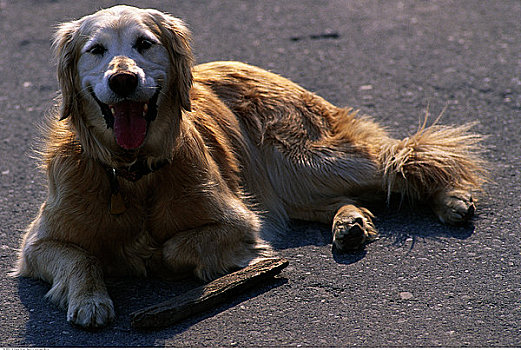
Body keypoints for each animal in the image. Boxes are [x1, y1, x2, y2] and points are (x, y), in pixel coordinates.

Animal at [12, 5, 486, 328]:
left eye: (145, 43)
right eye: (95, 50)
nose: (123, 80)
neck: (131, 173)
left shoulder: (239, 220)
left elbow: (173, 246)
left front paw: (153, 256)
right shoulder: (35, 246)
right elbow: (81, 258)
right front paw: (91, 299)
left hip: (307, 159)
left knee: (406, 158)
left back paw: (453, 198)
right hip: (291, 183)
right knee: (351, 195)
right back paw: (350, 223)